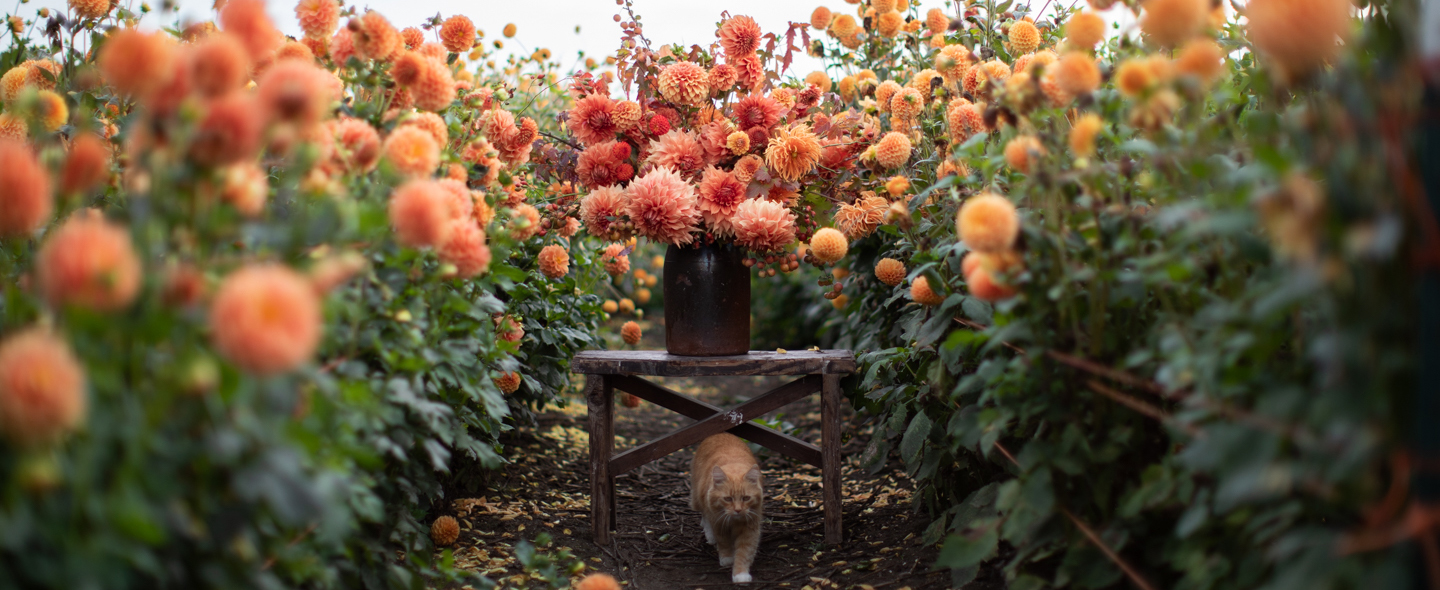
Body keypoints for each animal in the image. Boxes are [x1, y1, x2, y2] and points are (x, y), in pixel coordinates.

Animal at [688, 431, 766, 584]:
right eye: (728, 499)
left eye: (746, 498)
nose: (738, 510)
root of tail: (721, 433)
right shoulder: (718, 522)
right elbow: (723, 542)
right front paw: (727, 559)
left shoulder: (750, 528)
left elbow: (744, 552)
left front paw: (741, 574)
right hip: (699, 500)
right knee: (704, 516)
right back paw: (710, 536)